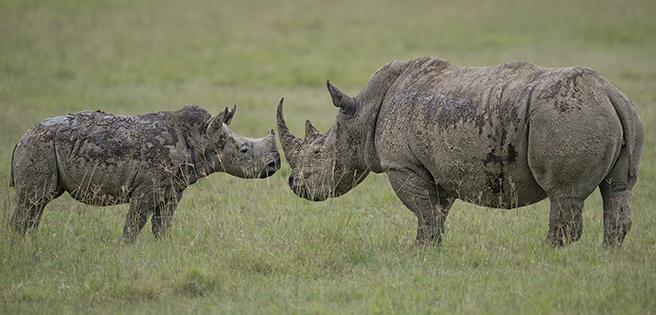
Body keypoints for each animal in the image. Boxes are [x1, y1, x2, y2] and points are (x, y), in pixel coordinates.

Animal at [10, 105, 280, 243]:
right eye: (244, 150)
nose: (274, 165)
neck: (201, 136)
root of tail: (21, 137)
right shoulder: (147, 187)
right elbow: (135, 222)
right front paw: (125, 248)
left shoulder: (173, 187)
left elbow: (163, 222)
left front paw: (162, 247)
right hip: (39, 145)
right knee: (34, 198)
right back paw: (20, 244)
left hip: (42, 147)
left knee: (39, 201)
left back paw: (27, 242)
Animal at [278, 57, 644, 249]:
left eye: (317, 152)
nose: (294, 185)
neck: (362, 113)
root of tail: (608, 93)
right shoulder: (438, 167)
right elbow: (435, 212)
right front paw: (432, 250)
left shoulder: (403, 165)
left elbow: (423, 210)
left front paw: (417, 251)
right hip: (619, 112)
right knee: (617, 187)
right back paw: (605, 255)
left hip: (567, 114)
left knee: (564, 195)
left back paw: (548, 254)